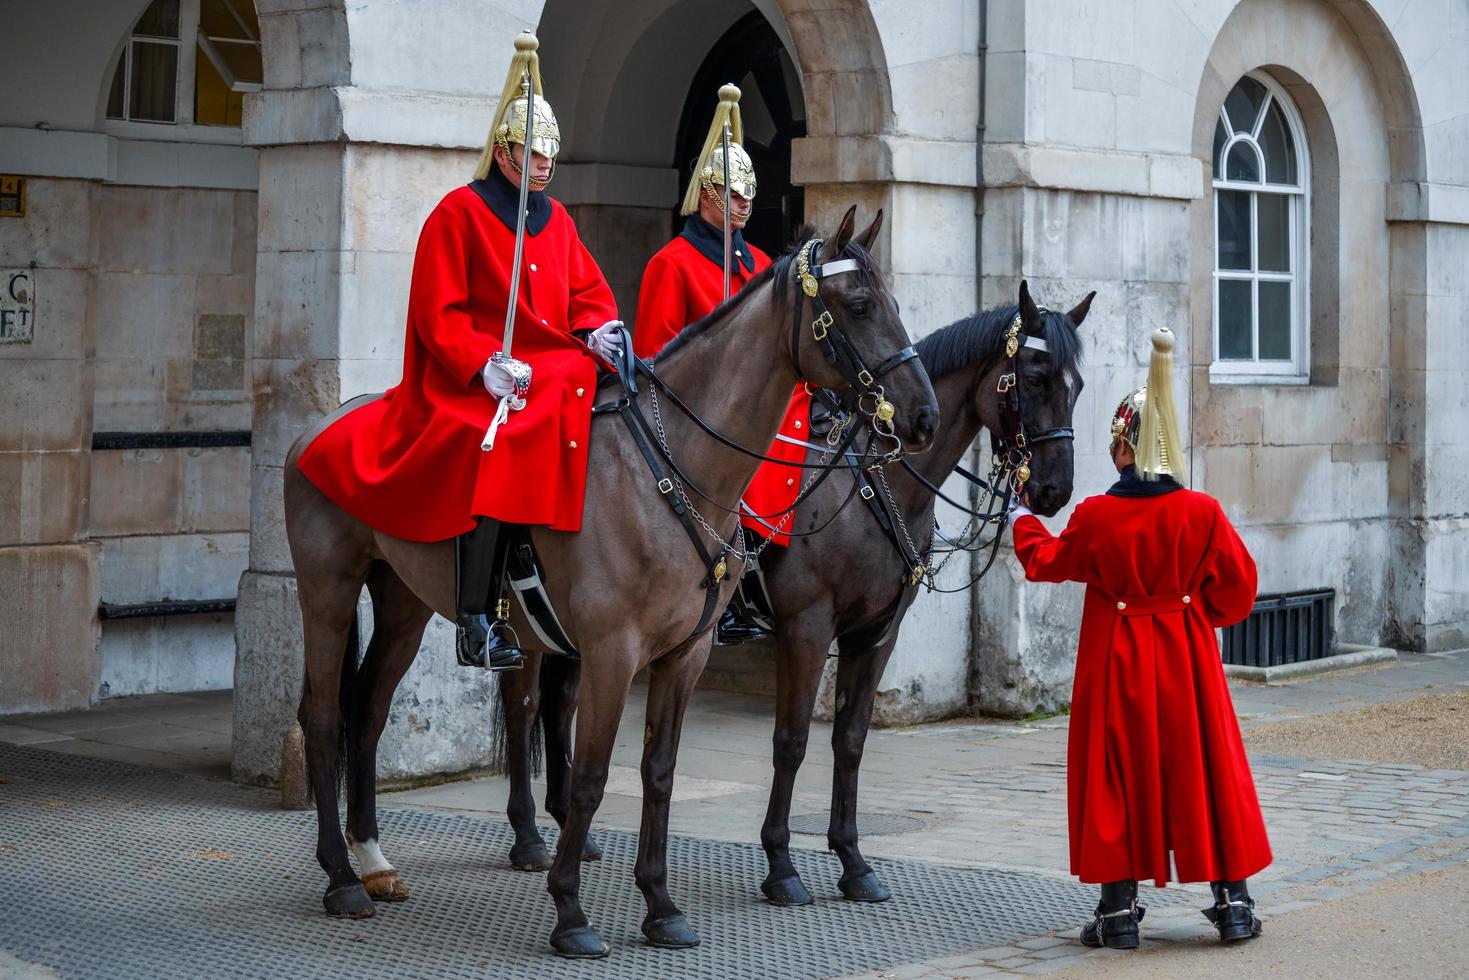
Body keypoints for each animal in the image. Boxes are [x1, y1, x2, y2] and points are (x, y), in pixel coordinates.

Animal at [280, 207, 934, 957]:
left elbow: (658, 772)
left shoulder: (686, 653)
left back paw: (373, 861)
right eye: (857, 306)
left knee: (368, 710)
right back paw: (341, 877)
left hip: (402, 603)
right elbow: (593, 777)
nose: (924, 417)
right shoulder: (614, 653)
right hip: (328, 592)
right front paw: (570, 912)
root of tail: (322, 424)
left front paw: (661, 906)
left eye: (894, 303)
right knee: (324, 717)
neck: (676, 470)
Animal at [493, 276, 1092, 905]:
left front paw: (853, 860)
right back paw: (529, 836)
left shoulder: (875, 635)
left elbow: (850, 741)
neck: (873, 483)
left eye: (1077, 385)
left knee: (558, 707)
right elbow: (792, 740)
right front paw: (781, 864)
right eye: (1034, 377)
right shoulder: (807, 627)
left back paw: (570, 828)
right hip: (535, 627)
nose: (1055, 490)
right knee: (523, 706)